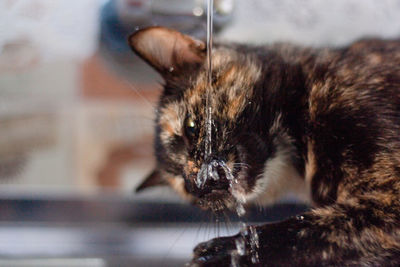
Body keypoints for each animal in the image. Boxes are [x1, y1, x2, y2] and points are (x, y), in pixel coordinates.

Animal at [130, 26, 400, 266]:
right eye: (185, 189)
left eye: (191, 127)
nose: (198, 184)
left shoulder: (389, 197)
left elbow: (306, 229)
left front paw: (226, 251)